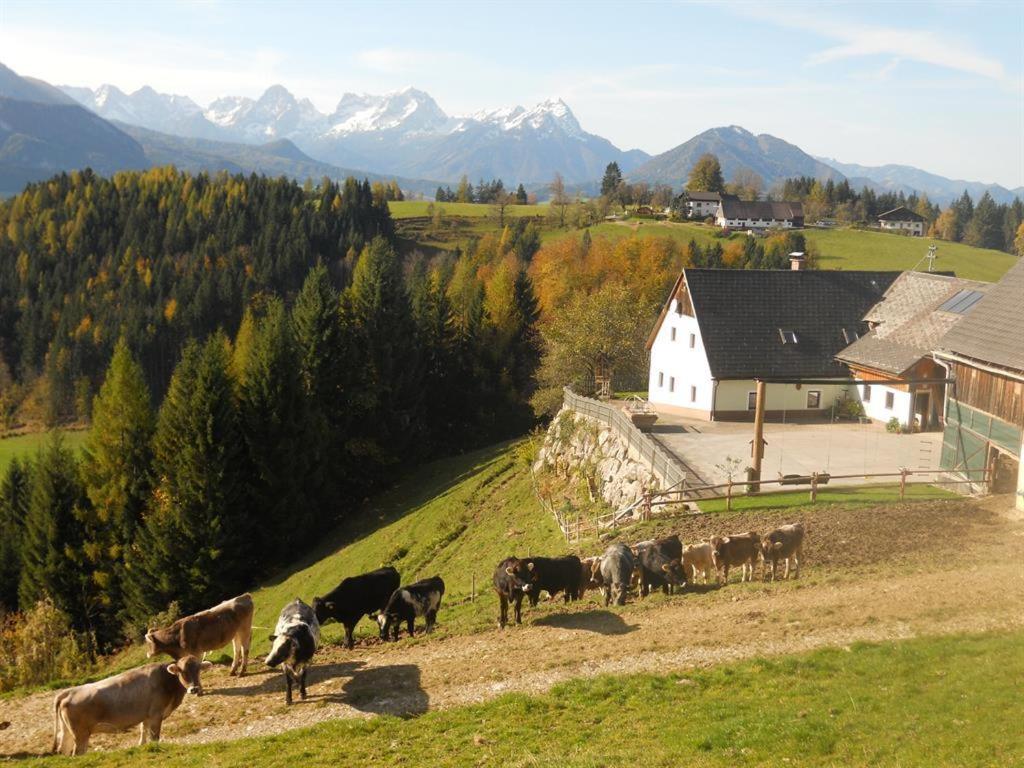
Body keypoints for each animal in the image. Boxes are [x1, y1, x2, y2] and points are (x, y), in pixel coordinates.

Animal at [51, 655, 209, 757]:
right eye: (182, 671)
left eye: (198, 670)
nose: (194, 689)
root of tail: (69, 691)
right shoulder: (156, 714)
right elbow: (154, 737)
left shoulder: (146, 716)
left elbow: (143, 732)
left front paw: (142, 746)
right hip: (81, 734)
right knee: (77, 753)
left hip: (67, 732)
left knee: (64, 749)